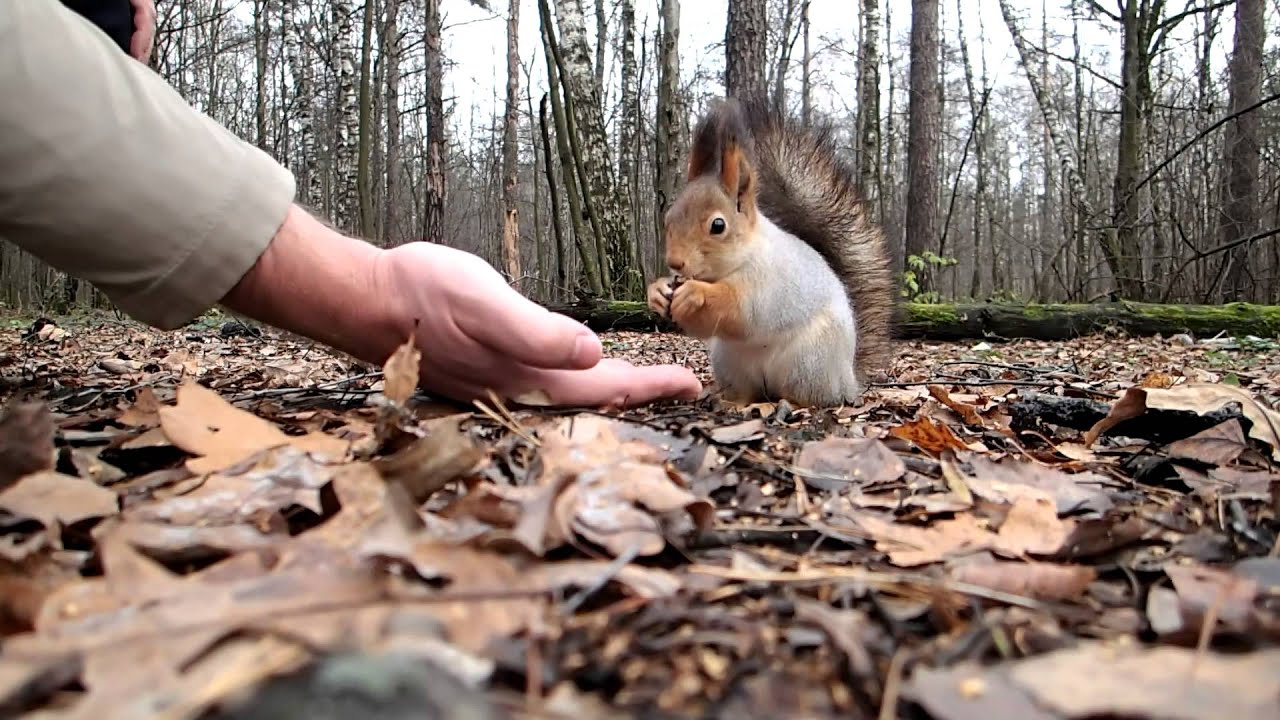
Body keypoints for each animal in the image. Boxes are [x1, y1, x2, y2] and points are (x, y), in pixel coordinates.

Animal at [645, 97, 896, 407]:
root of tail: (847, 381)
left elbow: (741, 309)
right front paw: (657, 291)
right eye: (668, 219)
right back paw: (731, 401)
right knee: (747, 391)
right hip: (730, 363)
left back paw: (790, 405)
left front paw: (695, 293)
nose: (675, 263)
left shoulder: (768, 283)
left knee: (807, 396)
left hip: (808, 363)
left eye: (718, 225)